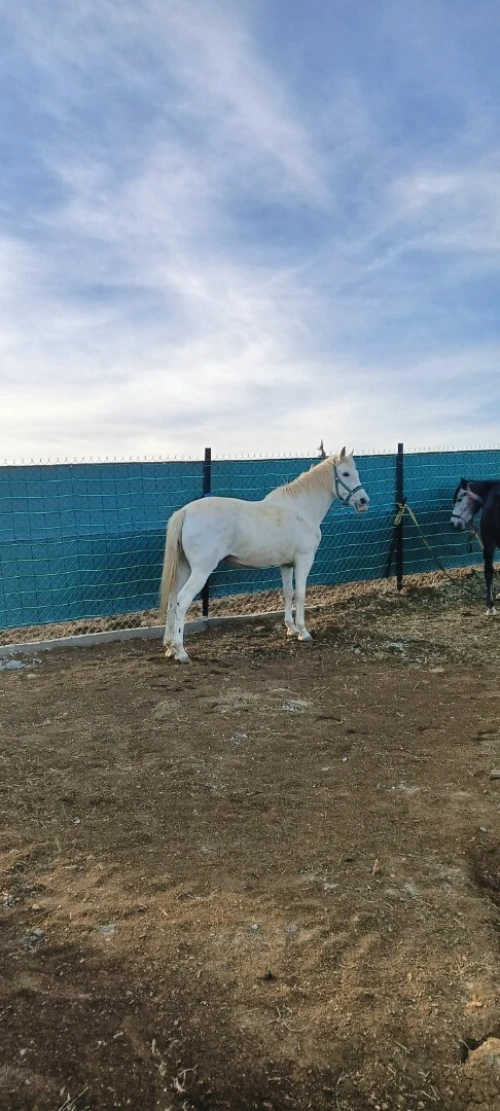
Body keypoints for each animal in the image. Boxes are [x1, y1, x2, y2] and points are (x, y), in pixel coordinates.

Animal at [159, 448, 370, 662]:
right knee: (182, 599)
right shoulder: (304, 559)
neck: (300, 509)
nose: (363, 501)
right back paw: (181, 651)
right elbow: (301, 594)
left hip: (185, 568)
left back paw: (169, 646)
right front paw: (304, 632)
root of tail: (185, 512)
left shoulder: (287, 564)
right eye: (345, 473)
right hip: (201, 570)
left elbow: (288, 593)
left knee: (172, 599)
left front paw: (291, 629)